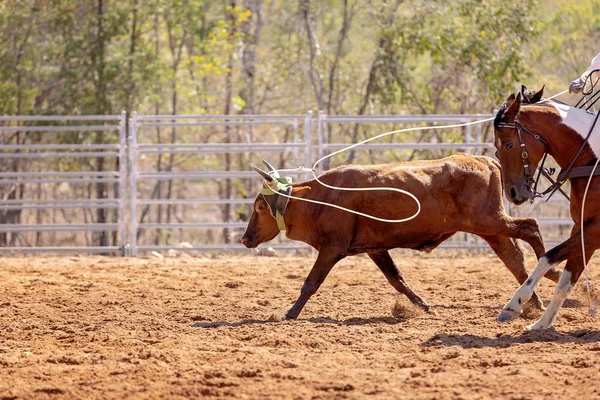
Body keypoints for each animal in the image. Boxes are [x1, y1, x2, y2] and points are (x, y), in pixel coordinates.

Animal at [492, 86, 600, 328]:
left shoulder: (595, 230)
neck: (594, 163)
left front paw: (513, 305)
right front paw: (541, 325)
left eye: (509, 144)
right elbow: (565, 284)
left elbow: (547, 258)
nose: (512, 193)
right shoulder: (583, 229)